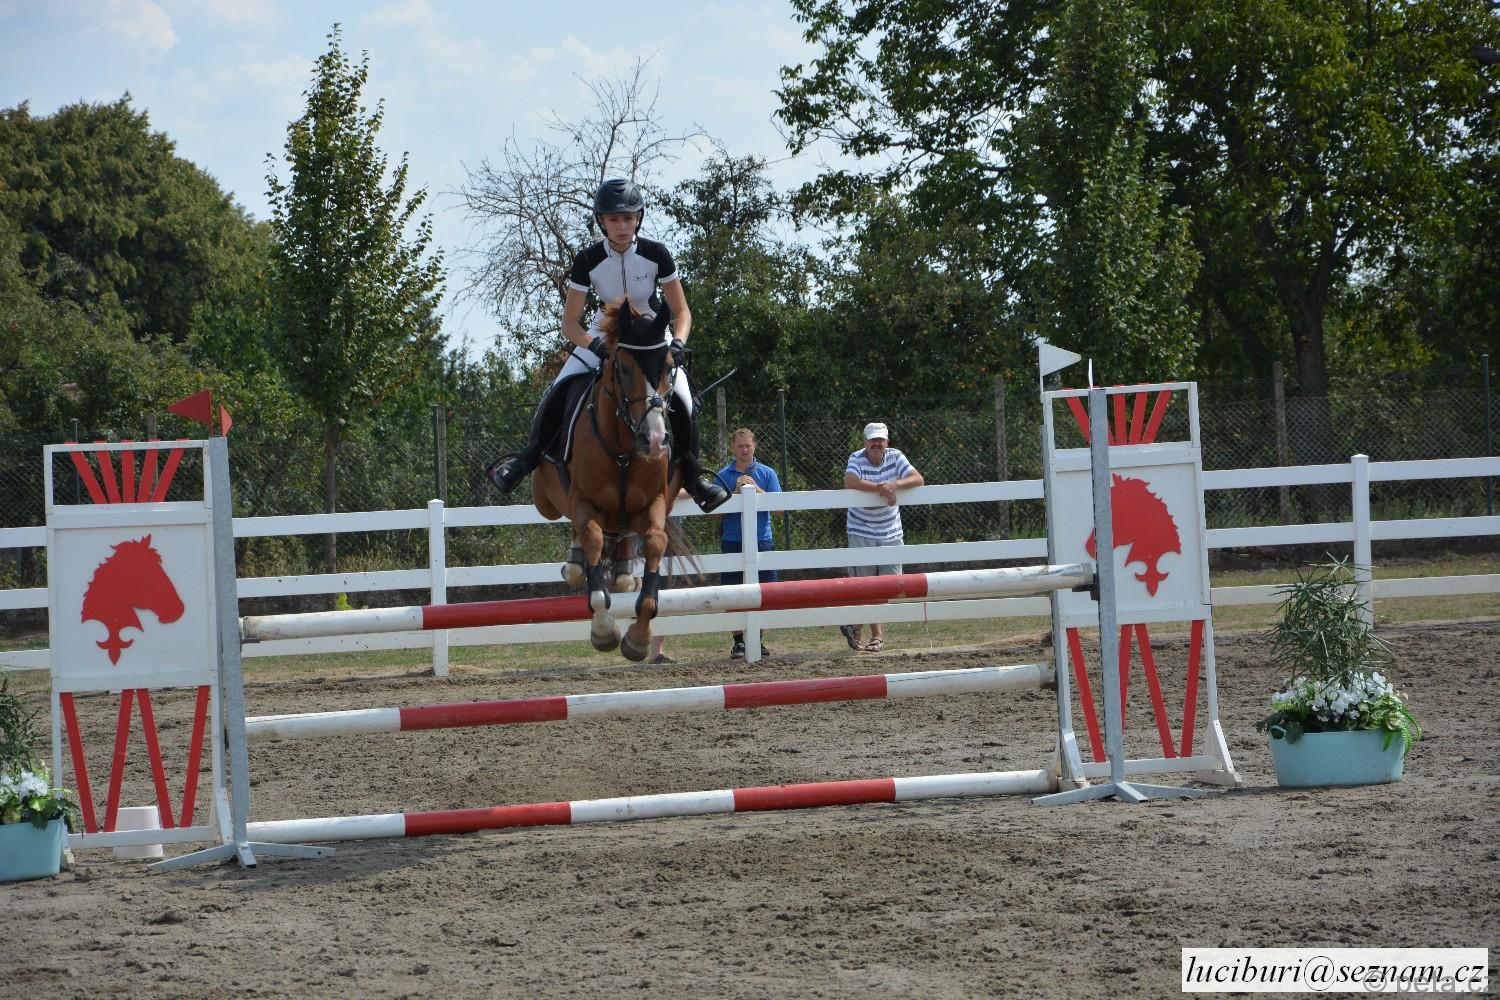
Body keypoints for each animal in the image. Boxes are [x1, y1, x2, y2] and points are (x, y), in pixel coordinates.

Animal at [532, 301, 690, 661]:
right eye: (624, 368)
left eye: (669, 367)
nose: (655, 441)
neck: (623, 449)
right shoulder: (582, 499)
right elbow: (591, 538)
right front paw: (604, 629)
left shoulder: (654, 502)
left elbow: (655, 542)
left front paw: (639, 638)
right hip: (545, 500)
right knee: (580, 531)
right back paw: (577, 564)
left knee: (621, 537)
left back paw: (621, 571)